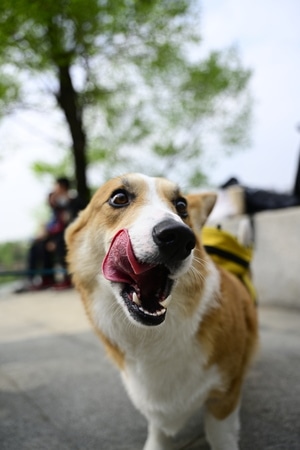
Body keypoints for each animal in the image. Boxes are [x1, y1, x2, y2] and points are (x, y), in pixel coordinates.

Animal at [65, 173, 258, 450]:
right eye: (119, 197)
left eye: (181, 205)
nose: (178, 236)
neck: (153, 336)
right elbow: (157, 431)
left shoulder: (225, 395)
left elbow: (221, 435)